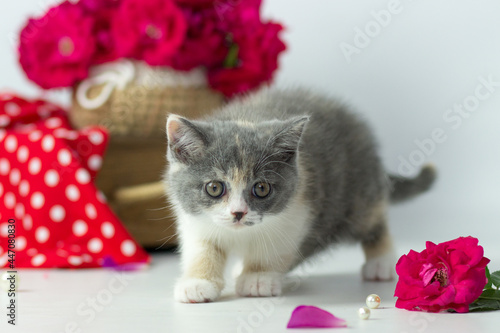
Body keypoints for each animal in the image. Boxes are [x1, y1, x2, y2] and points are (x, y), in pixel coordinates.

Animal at [163, 87, 434, 302]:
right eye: (214, 188)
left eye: (261, 188)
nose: (238, 213)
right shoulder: (194, 218)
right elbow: (202, 248)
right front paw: (197, 282)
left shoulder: (295, 212)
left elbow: (274, 247)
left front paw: (258, 278)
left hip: (360, 194)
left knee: (373, 222)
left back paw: (381, 262)